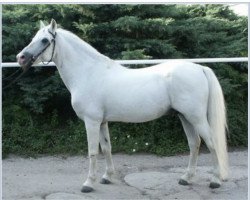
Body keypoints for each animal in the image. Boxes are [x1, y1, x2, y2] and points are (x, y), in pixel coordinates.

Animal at [17, 19, 229, 192]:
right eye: (34, 37)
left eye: (45, 40)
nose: (21, 58)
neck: (88, 73)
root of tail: (200, 68)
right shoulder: (102, 122)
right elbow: (107, 148)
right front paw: (106, 177)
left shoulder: (91, 122)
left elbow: (93, 151)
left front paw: (88, 183)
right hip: (185, 117)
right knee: (195, 144)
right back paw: (186, 178)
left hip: (196, 117)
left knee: (211, 143)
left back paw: (215, 180)